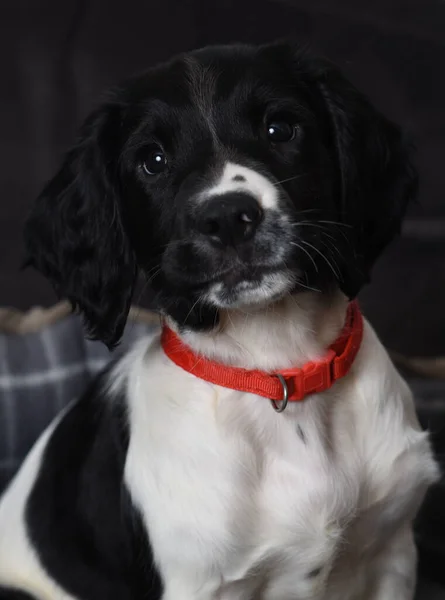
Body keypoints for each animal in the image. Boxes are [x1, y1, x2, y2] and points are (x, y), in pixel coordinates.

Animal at [0, 41, 438, 600]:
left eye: (280, 129)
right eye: (152, 161)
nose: (229, 217)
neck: (278, 372)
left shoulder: (391, 550)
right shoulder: (199, 583)